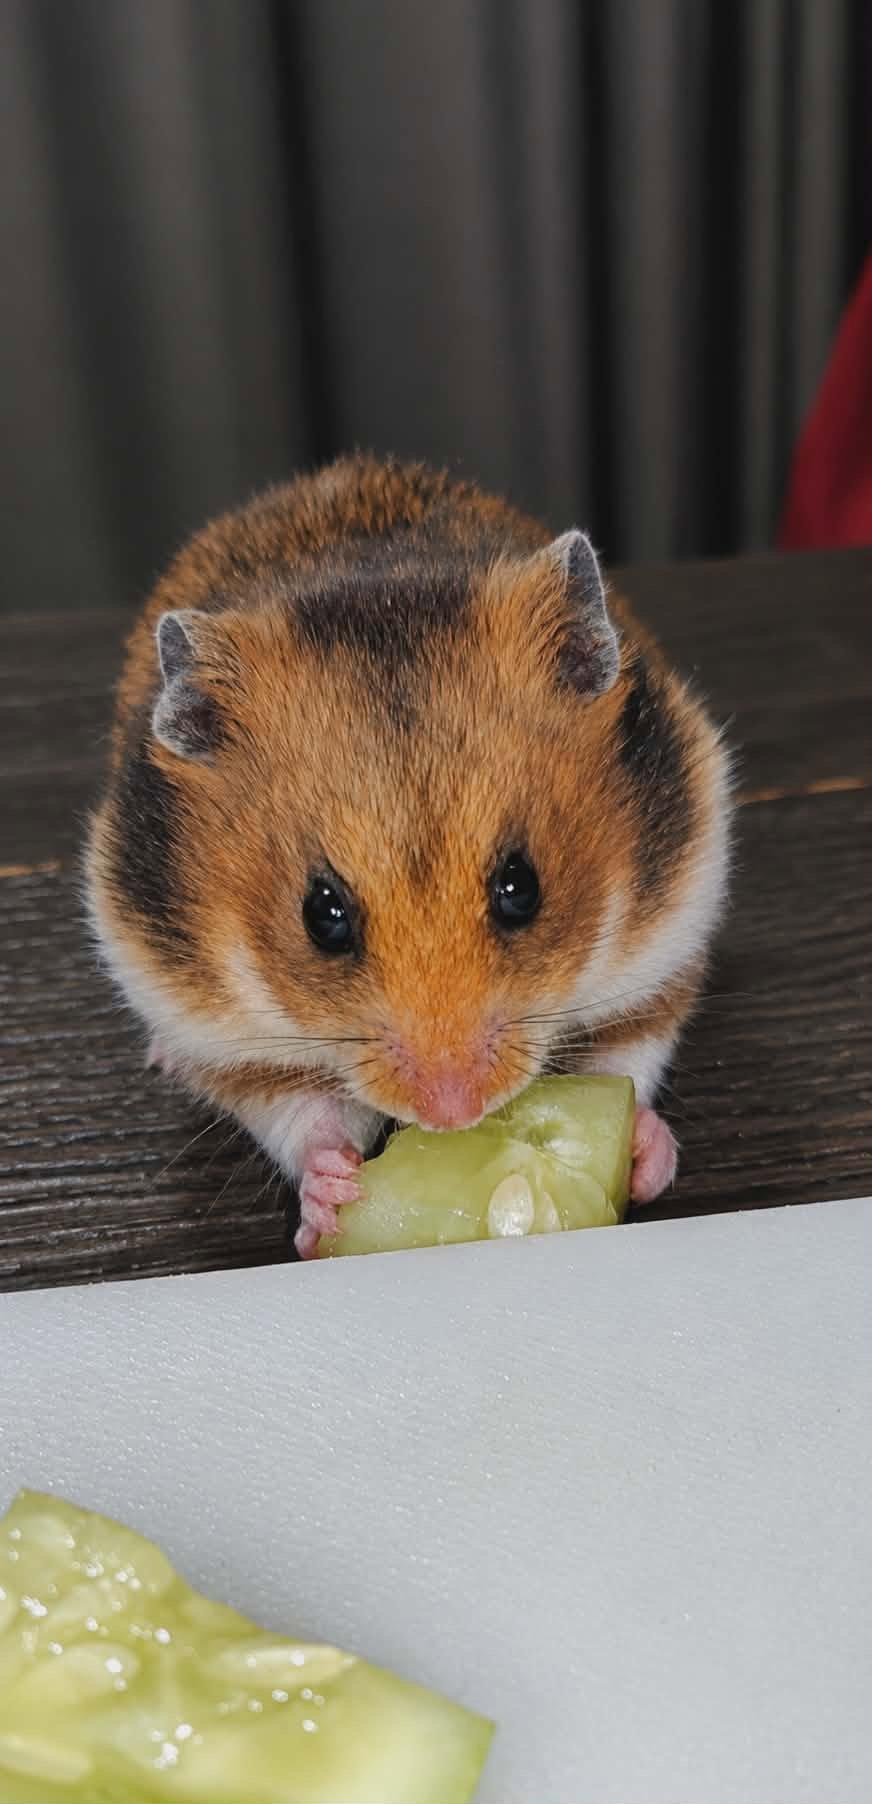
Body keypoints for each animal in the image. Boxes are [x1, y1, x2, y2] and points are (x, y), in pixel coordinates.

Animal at [86, 455, 731, 1258]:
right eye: (322, 916)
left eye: (522, 888)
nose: (453, 1113)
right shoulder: (220, 1027)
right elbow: (300, 1113)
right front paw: (331, 1202)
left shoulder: (662, 942)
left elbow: (630, 1056)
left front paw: (645, 1153)